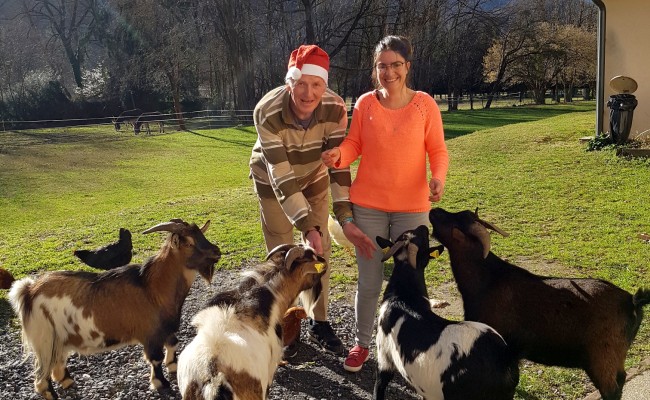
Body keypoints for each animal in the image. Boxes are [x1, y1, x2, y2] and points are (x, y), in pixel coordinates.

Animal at [8, 220, 220, 398]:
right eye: (189, 243)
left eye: (201, 235)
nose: (217, 251)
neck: (152, 287)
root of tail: (29, 291)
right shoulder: (151, 334)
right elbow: (156, 359)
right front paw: (161, 383)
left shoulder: (165, 328)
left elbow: (173, 343)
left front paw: (173, 365)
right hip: (44, 340)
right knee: (41, 379)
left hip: (59, 339)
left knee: (57, 366)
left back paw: (68, 381)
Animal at [374, 225, 516, 400]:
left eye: (424, 238)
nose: (423, 226)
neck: (404, 296)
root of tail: (503, 359)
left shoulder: (384, 356)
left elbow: (379, 387)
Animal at [426, 206, 648, 400]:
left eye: (456, 224)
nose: (434, 210)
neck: (489, 280)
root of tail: (633, 302)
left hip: (603, 358)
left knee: (611, 389)